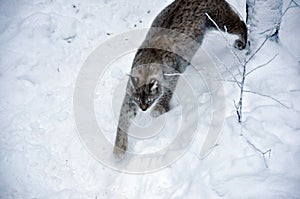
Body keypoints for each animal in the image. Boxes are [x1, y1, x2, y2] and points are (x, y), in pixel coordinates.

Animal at [113, 0, 247, 159]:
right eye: (139, 100)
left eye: (150, 100)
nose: (143, 109)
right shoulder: (130, 94)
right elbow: (123, 116)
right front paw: (119, 148)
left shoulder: (172, 76)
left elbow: (167, 92)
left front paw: (160, 108)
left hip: (220, 20)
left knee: (241, 24)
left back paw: (242, 43)